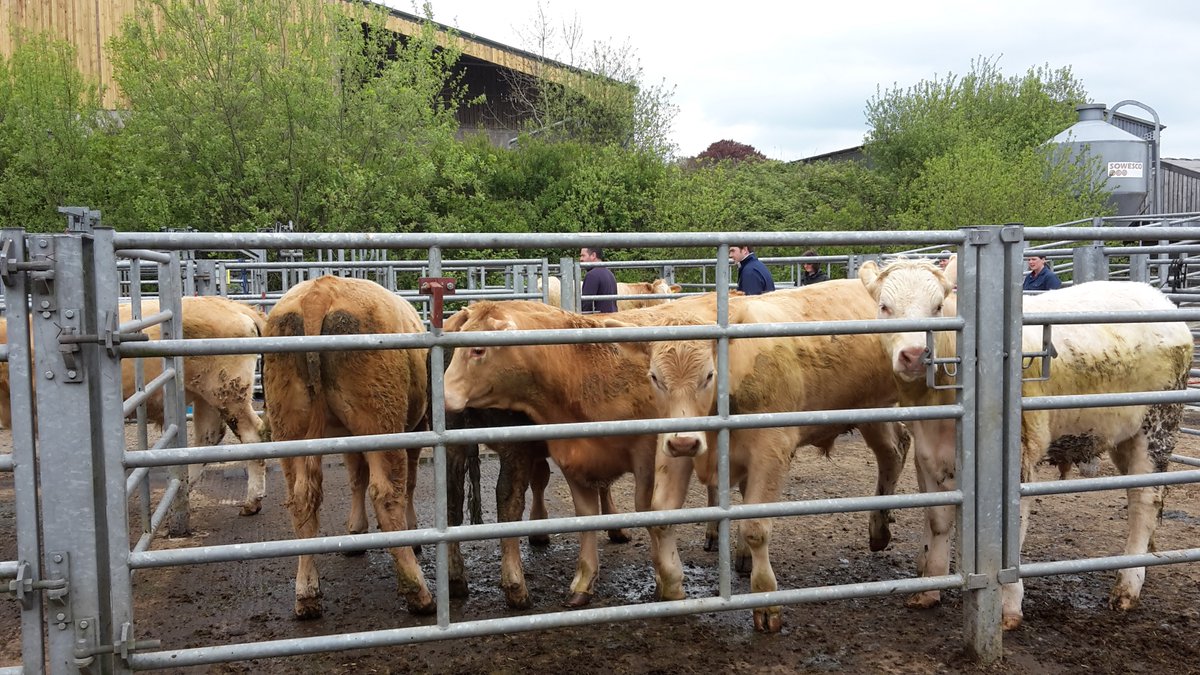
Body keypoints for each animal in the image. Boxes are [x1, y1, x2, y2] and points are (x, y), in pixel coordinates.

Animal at [0, 296, 267, 511]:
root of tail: (235, 306)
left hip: (228, 393)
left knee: (252, 434)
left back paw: (251, 501)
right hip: (206, 397)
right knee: (208, 438)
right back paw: (182, 490)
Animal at [262, 273, 436, 614]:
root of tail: (319, 293)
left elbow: (356, 476)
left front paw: (355, 529)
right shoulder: (415, 427)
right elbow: (408, 481)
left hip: (288, 429)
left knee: (301, 499)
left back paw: (306, 592)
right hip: (381, 422)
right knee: (387, 494)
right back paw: (418, 591)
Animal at [619, 277, 907, 624]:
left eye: (709, 375)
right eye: (655, 377)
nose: (685, 443)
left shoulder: (772, 452)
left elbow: (756, 527)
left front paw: (766, 598)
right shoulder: (672, 446)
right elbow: (661, 515)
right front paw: (672, 587)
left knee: (895, 453)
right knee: (895, 449)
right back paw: (879, 529)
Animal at [864, 254, 1190, 629]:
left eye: (938, 307)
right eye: (885, 307)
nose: (916, 354)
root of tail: (1159, 299)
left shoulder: (1017, 452)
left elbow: (1011, 526)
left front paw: (1007, 606)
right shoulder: (928, 452)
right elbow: (938, 519)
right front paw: (929, 588)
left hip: (1158, 427)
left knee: (1145, 501)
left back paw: (1127, 587)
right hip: (1125, 437)